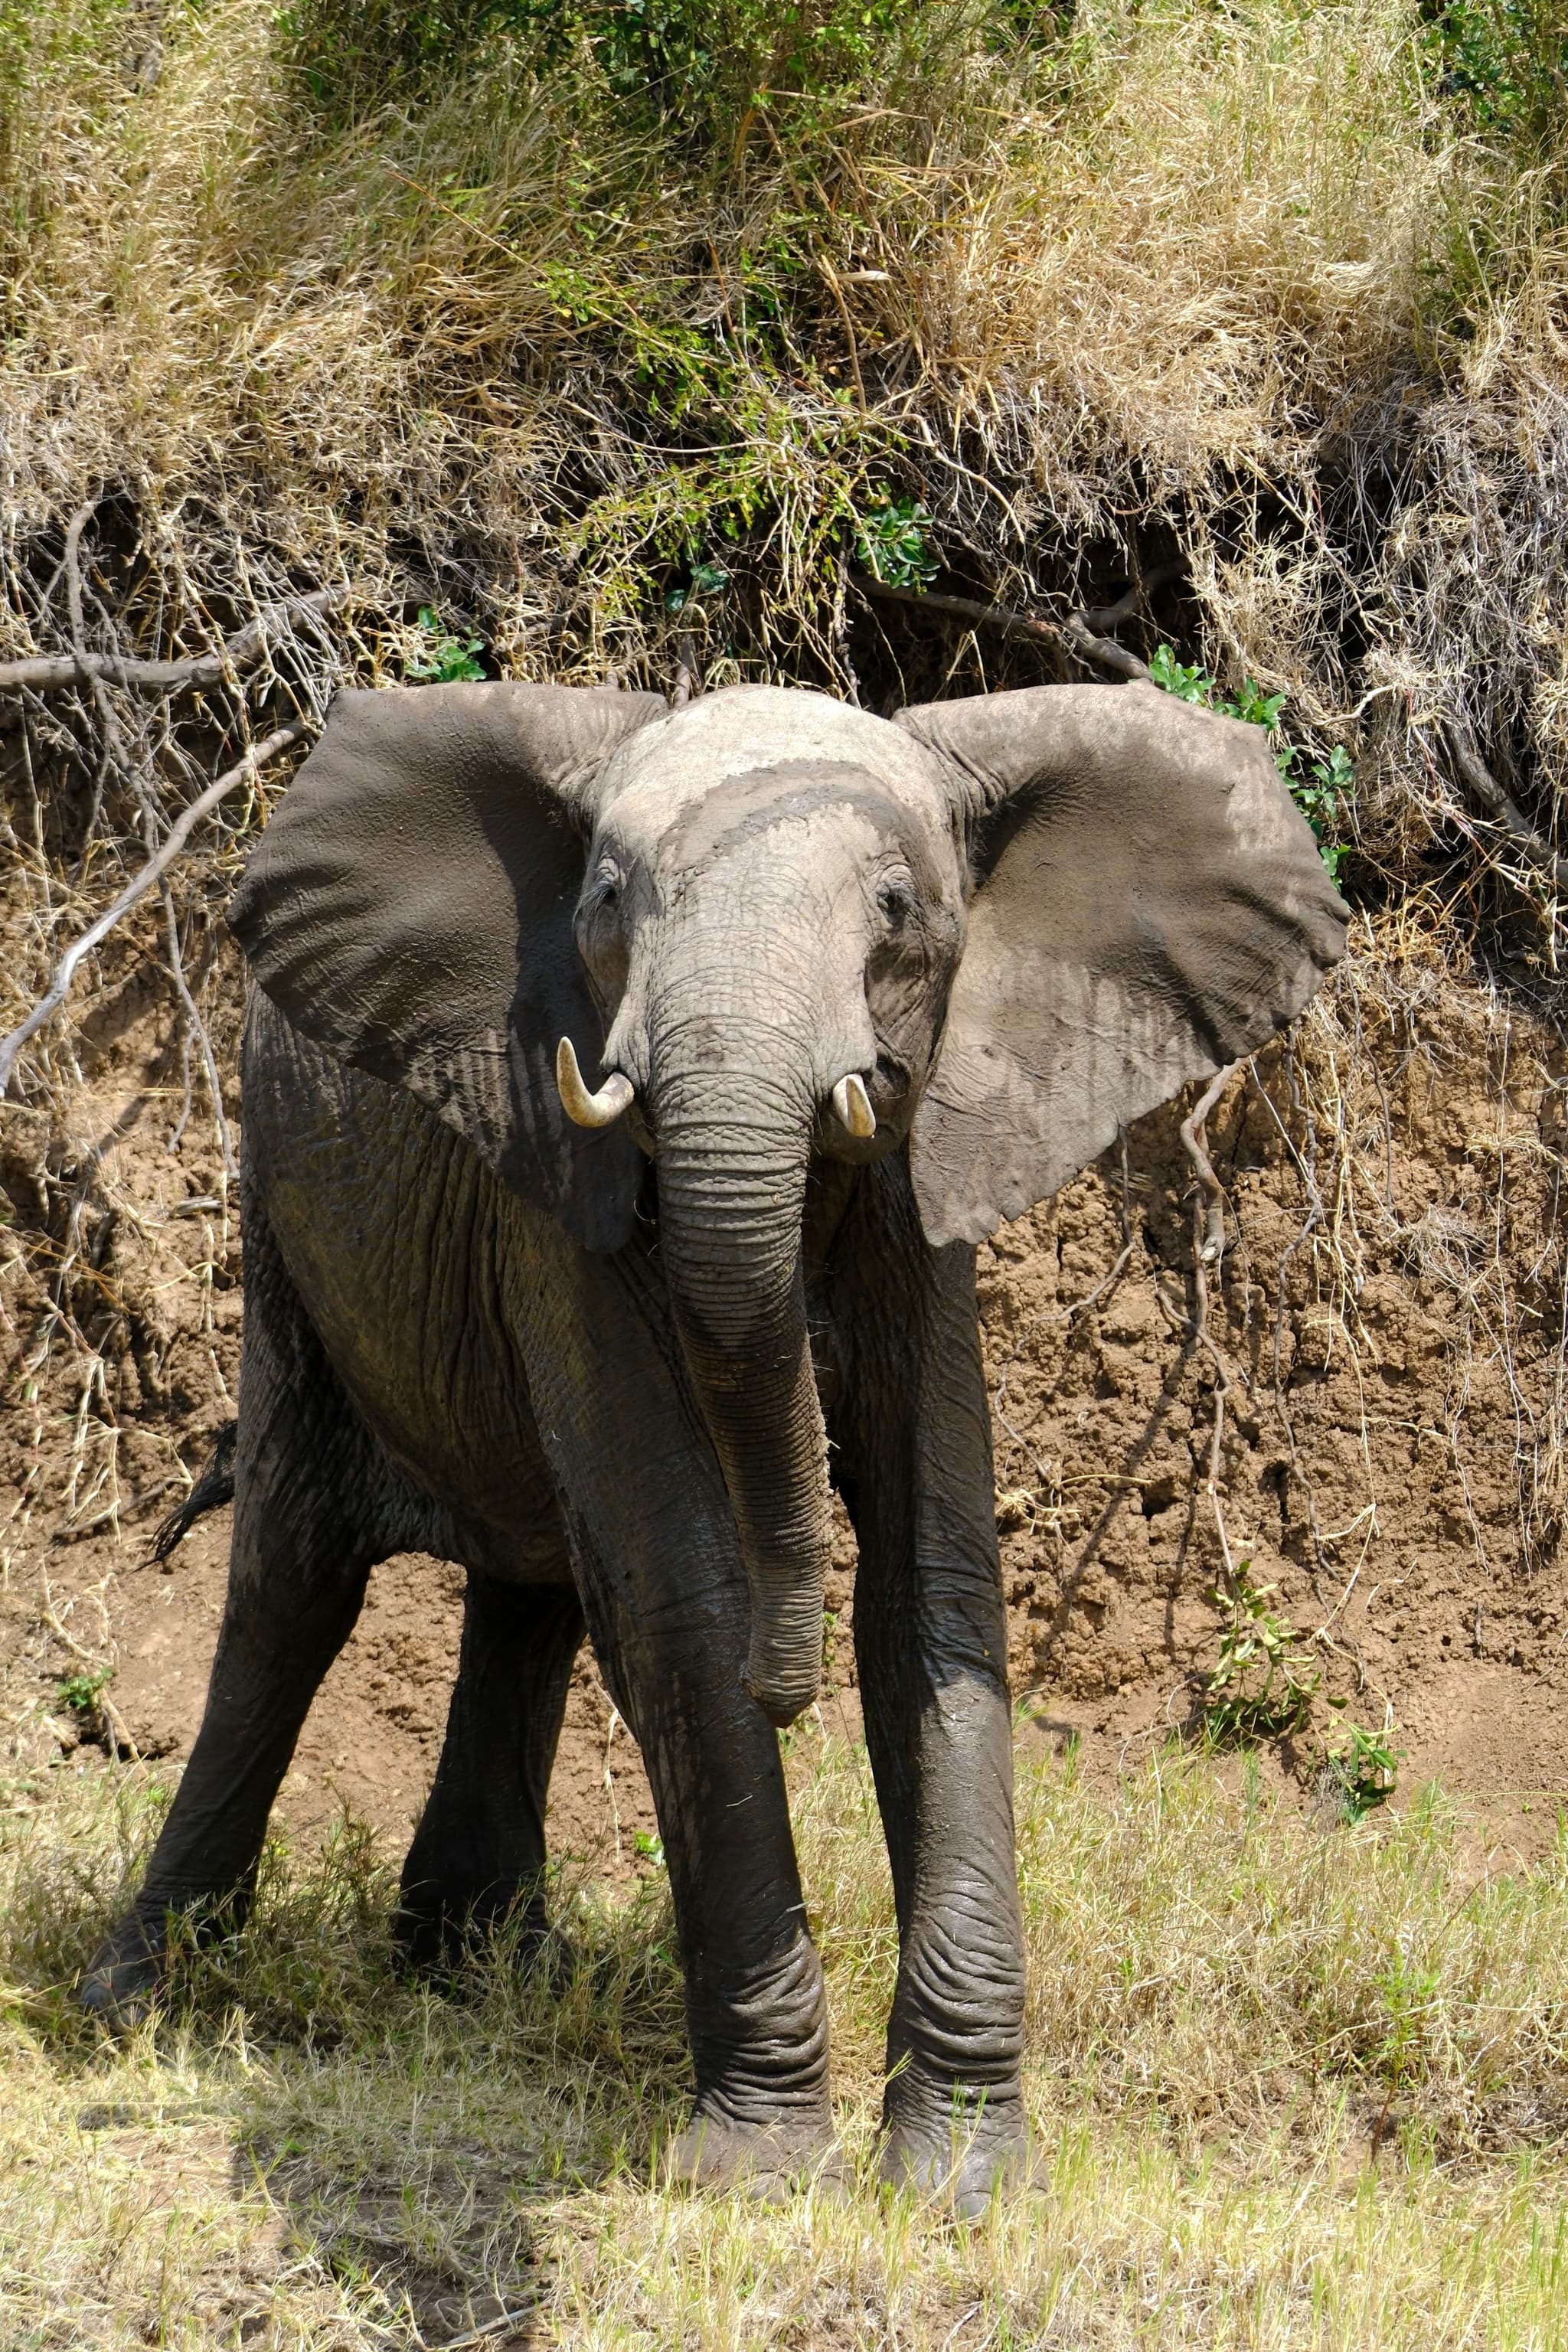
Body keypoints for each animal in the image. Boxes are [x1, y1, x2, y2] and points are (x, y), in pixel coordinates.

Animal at [79, 675, 1345, 2210]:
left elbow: (930, 1587)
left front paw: (960, 2183)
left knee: (535, 1589)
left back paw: (478, 1972)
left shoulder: (922, 1197)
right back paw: (137, 2000)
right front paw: (759, 2171)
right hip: (282, 1212)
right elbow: (683, 1600)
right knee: (295, 1578)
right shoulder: (557, 1169)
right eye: (608, 901)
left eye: (897, 909)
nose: (783, 1686)